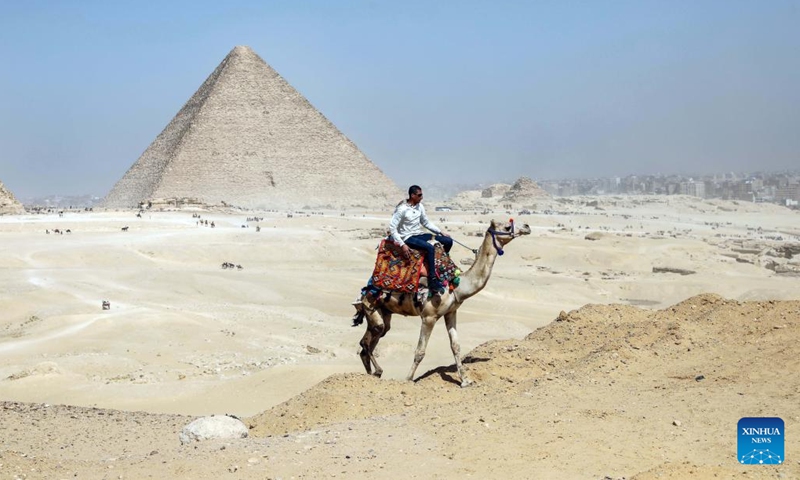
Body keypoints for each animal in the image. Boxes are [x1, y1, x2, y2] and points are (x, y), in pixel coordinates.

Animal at [354, 218, 531, 387]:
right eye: (507, 226)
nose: (527, 227)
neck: (457, 285)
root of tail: (365, 291)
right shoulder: (429, 316)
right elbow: (420, 351)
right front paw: (408, 379)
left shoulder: (451, 312)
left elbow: (456, 346)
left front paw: (465, 380)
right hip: (371, 305)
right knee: (367, 343)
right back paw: (378, 371)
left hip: (384, 312)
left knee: (369, 341)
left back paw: (373, 375)